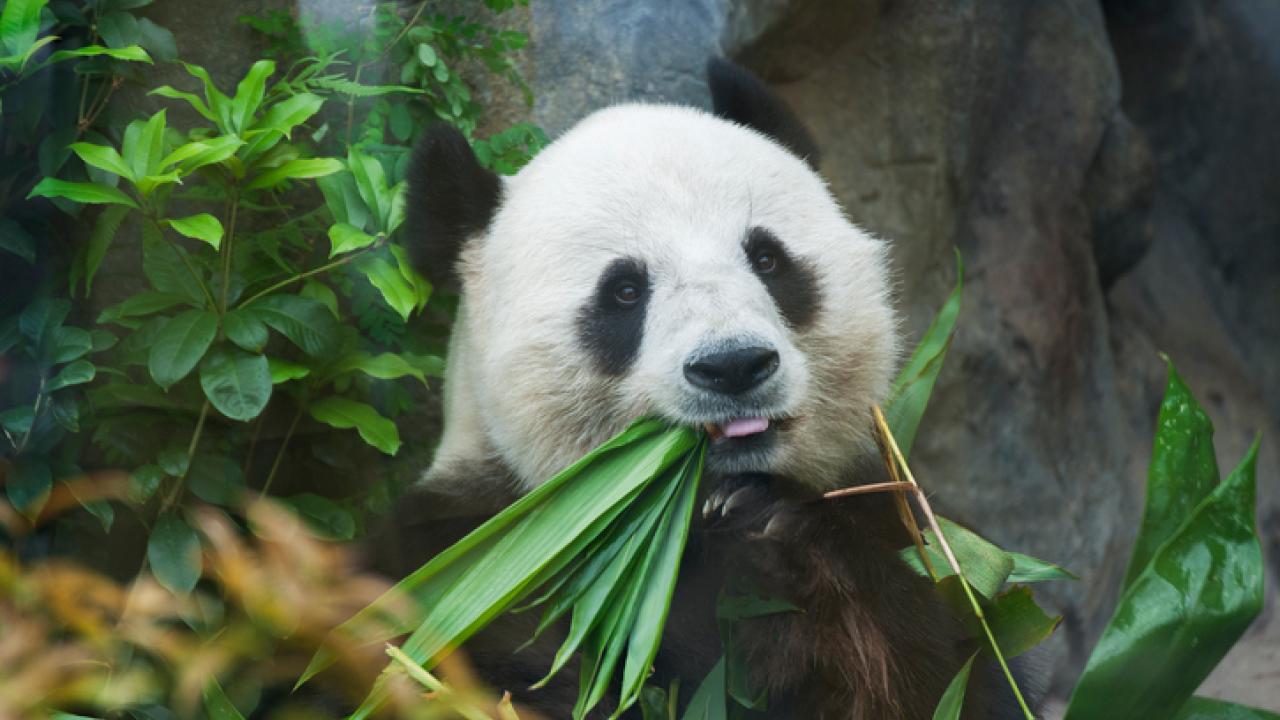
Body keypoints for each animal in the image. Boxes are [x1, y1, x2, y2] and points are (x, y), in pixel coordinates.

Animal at [369, 59, 1036, 719]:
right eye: (625, 291)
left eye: (767, 259)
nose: (733, 365)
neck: (680, 522)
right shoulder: (469, 561)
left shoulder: (898, 518)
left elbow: (942, 674)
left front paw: (779, 534)